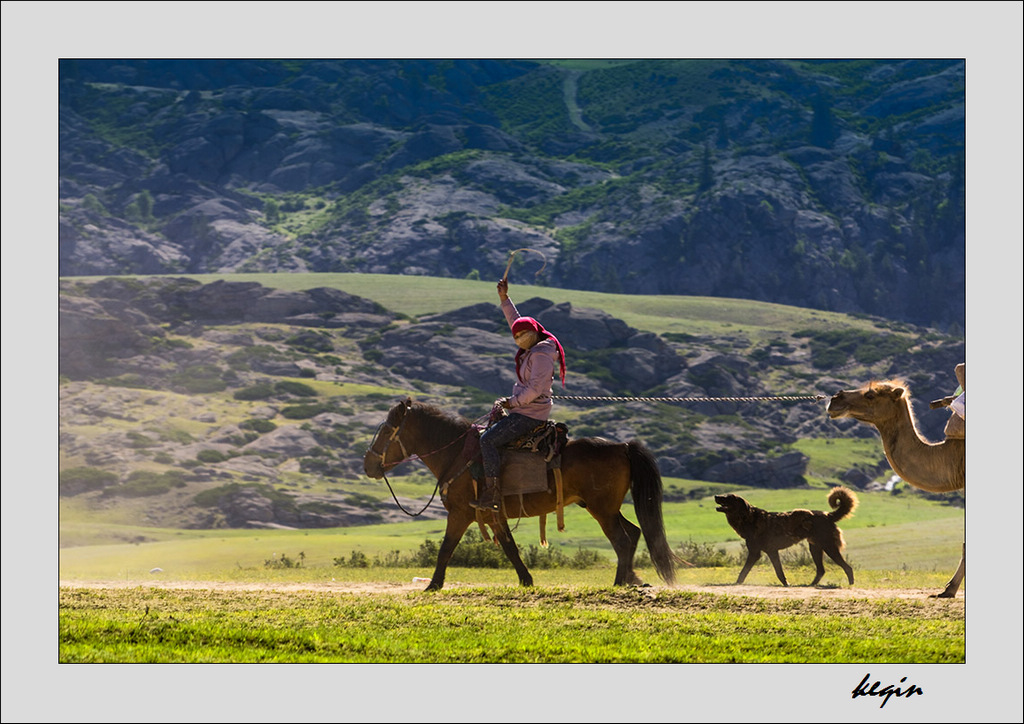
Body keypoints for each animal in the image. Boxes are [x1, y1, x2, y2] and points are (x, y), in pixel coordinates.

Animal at [364, 399, 675, 593]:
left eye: (387, 430)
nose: (367, 465)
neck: (457, 455)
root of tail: (623, 446)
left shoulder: (461, 513)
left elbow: (446, 548)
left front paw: (433, 585)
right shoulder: (493, 514)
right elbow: (510, 547)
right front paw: (526, 580)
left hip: (602, 510)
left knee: (622, 540)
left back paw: (619, 582)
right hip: (607, 508)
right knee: (633, 533)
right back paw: (632, 579)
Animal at [716, 487, 860, 589]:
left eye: (729, 497)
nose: (716, 496)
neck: (748, 517)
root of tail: (828, 515)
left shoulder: (755, 553)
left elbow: (744, 571)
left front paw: (737, 583)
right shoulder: (772, 552)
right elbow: (779, 572)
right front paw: (786, 584)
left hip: (829, 547)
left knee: (847, 568)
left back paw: (850, 585)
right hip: (815, 548)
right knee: (821, 570)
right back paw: (810, 585)